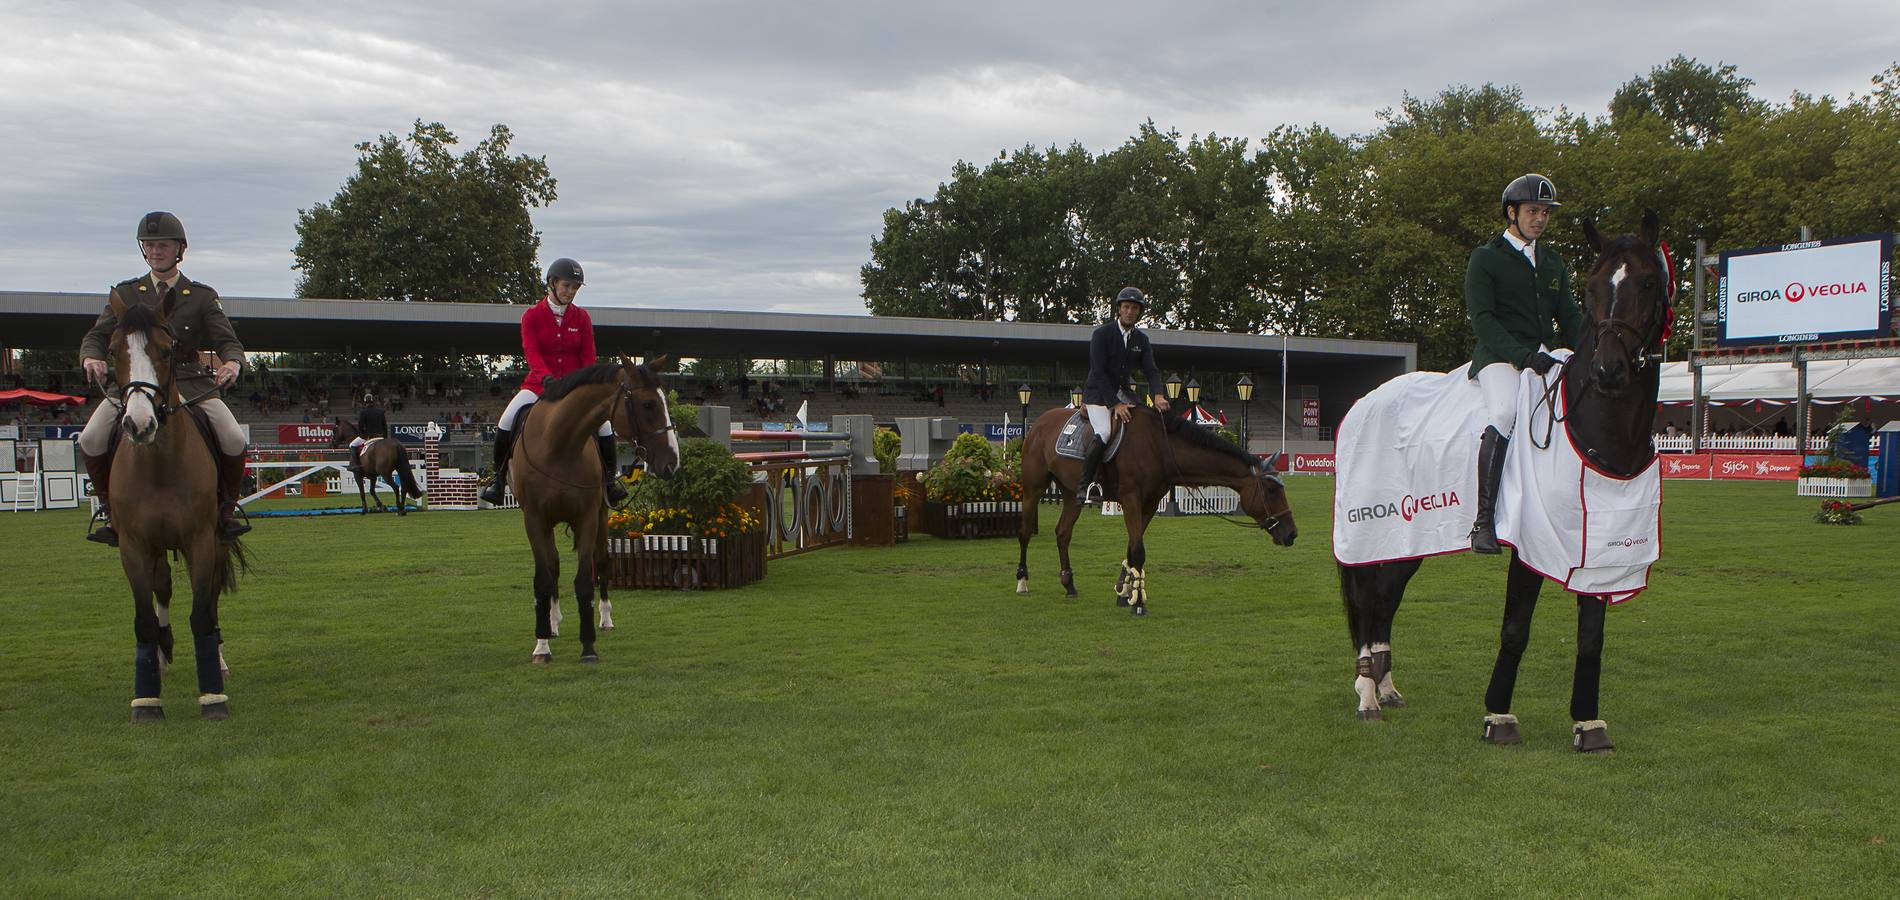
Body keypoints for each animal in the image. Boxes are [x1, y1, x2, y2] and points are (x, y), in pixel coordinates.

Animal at [100, 292, 247, 721]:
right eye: (112, 350)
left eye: (167, 350)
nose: (139, 424)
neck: (160, 465)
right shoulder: (134, 546)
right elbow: (144, 619)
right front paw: (147, 702)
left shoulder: (201, 541)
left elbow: (201, 613)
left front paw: (213, 698)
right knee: (162, 587)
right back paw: (162, 656)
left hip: (215, 542)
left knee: (210, 601)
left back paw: (217, 660)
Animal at [509, 356, 680, 660]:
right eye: (648, 404)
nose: (672, 462)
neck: (559, 445)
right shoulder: (534, 520)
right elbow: (543, 578)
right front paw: (542, 644)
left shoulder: (587, 517)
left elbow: (584, 581)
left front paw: (588, 646)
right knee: (553, 565)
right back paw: (553, 622)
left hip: (600, 519)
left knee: (600, 563)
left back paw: (605, 619)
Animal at [1018, 404, 1299, 615]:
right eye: (1271, 490)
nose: (1292, 533)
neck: (1160, 446)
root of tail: (1040, 422)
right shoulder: (1131, 499)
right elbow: (1138, 550)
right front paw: (1138, 603)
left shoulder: (1151, 503)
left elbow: (1132, 547)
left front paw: (1125, 591)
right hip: (1033, 488)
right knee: (1025, 532)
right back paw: (1022, 580)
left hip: (1070, 494)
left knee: (1063, 533)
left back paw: (1069, 585)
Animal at [1337, 206, 1664, 748]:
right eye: (1592, 285)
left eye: (1648, 282)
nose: (1609, 370)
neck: (1590, 425)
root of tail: (1365, 402)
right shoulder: (1532, 543)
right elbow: (1515, 628)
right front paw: (1498, 716)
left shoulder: (1598, 548)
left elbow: (1591, 637)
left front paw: (1588, 723)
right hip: (1367, 533)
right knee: (1367, 602)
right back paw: (1366, 696)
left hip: (1409, 538)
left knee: (1385, 600)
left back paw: (1384, 687)